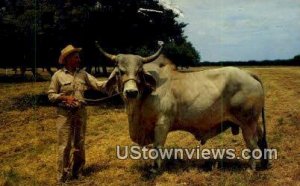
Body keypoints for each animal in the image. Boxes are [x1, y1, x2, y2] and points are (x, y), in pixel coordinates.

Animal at [95, 41, 268, 171]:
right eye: (119, 71)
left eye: (139, 71)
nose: (131, 92)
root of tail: (247, 73)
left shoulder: (162, 123)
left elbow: (158, 146)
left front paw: (157, 168)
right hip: (254, 122)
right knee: (260, 139)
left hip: (247, 123)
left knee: (252, 144)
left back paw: (251, 169)